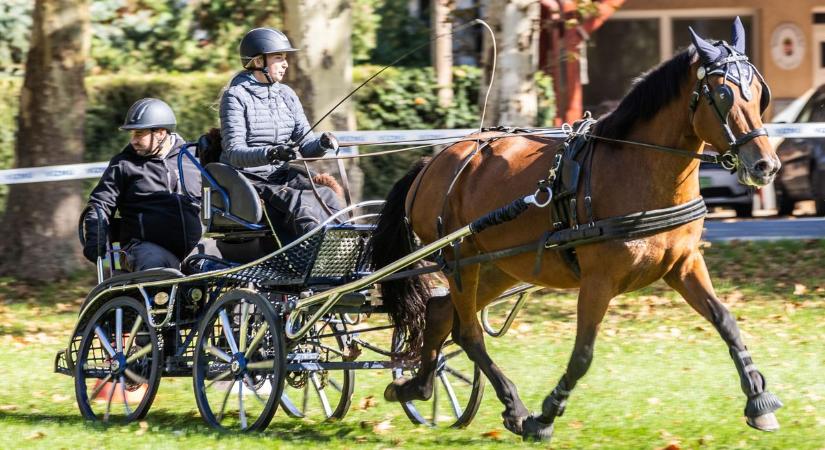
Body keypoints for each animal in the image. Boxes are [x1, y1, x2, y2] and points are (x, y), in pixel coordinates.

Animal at [370, 19, 784, 442]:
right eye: (723, 94)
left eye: (759, 95)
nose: (765, 165)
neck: (639, 168)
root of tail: (432, 164)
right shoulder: (599, 279)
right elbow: (583, 354)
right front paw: (545, 416)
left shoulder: (683, 264)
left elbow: (726, 321)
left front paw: (759, 400)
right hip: (461, 261)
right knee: (468, 332)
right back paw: (512, 405)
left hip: (498, 266)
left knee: (439, 314)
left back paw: (416, 386)